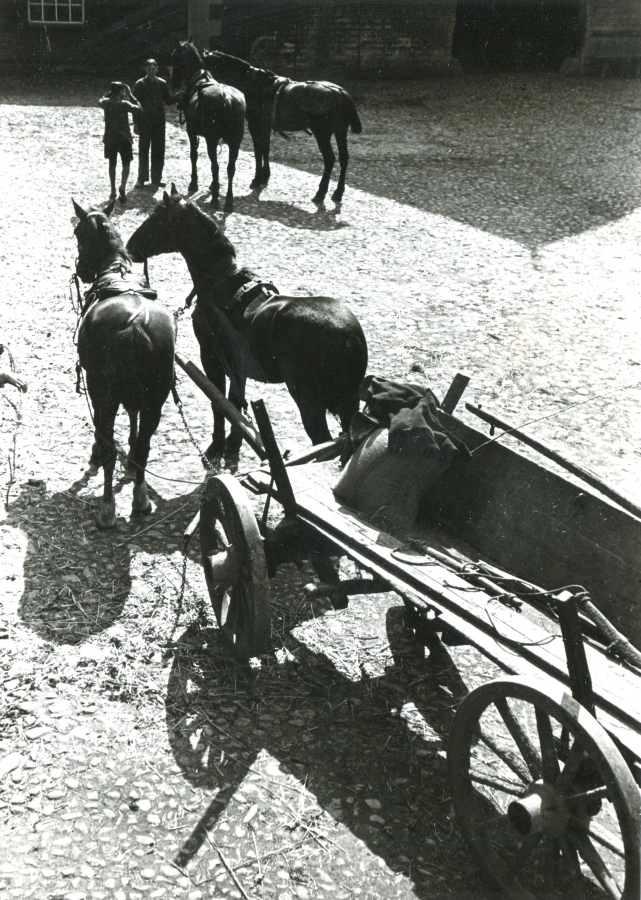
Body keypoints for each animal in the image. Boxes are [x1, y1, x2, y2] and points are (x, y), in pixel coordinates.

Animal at [72, 197, 175, 528]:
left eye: (78, 233)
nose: (81, 270)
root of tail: (136, 323)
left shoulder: (97, 387)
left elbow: (102, 433)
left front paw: (95, 452)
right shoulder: (136, 394)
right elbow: (134, 418)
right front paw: (129, 458)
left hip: (104, 391)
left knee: (108, 450)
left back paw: (107, 508)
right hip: (156, 398)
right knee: (144, 447)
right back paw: (140, 499)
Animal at [125, 189, 368, 468]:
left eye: (157, 218)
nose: (130, 248)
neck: (219, 281)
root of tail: (350, 335)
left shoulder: (211, 356)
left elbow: (219, 402)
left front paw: (217, 446)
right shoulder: (236, 366)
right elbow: (236, 403)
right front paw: (233, 445)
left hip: (308, 400)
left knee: (322, 443)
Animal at [170, 40, 245, 211]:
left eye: (174, 57)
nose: (173, 81)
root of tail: (227, 99)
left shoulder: (191, 131)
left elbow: (194, 155)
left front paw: (194, 183)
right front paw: (212, 185)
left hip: (212, 139)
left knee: (215, 166)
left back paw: (216, 199)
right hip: (235, 142)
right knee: (230, 168)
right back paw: (228, 201)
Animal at [202, 49, 362, 206]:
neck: (253, 84)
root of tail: (340, 93)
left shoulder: (255, 124)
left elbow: (258, 150)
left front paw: (257, 179)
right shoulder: (265, 125)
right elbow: (265, 149)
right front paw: (265, 177)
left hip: (322, 134)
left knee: (329, 159)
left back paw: (320, 193)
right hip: (340, 131)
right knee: (344, 158)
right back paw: (338, 193)